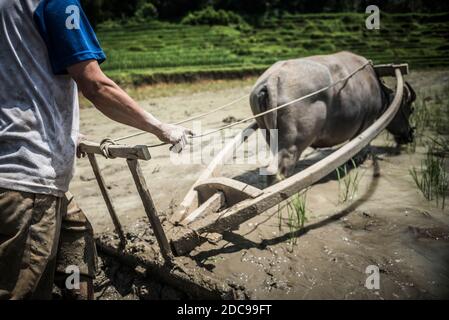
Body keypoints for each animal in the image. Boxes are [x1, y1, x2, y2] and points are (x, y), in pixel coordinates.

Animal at [248, 50, 412, 180]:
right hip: (291, 144)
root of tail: (271, 79)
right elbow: (361, 148)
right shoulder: (368, 123)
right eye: (410, 108)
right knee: (278, 171)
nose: (410, 135)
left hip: (269, 134)